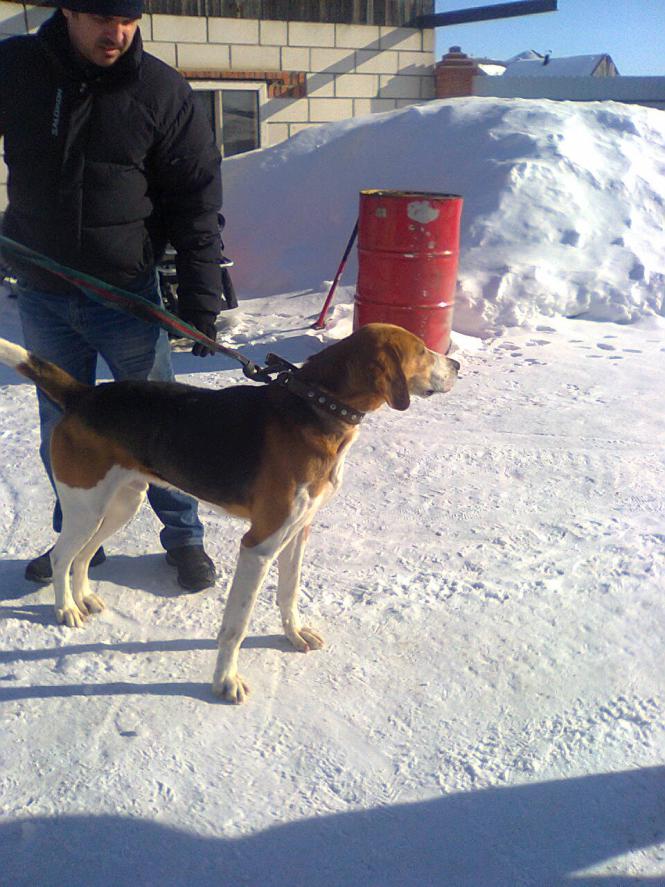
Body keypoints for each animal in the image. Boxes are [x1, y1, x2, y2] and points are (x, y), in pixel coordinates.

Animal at [0, 323, 458, 702]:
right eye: (421, 351)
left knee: (81, 557)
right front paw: (225, 681)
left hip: (119, 504)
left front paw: (293, 635)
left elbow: (289, 593)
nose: (455, 362)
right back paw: (66, 609)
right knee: (62, 556)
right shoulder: (258, 545)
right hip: (86, 505)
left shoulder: (298, 531)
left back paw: (84, 597)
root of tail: (85, 394)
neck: (319, 406)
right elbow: (236, 626)